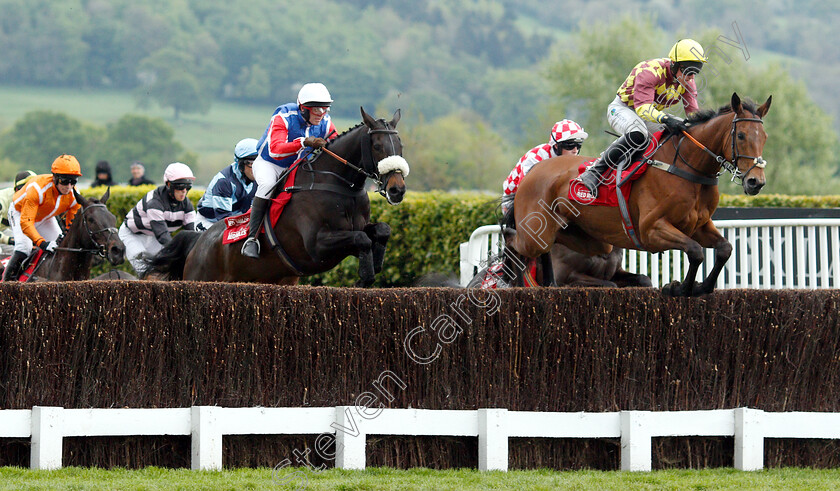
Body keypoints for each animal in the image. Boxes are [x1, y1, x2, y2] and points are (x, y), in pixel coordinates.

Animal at [146, 107, 408, 284]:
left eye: (400, 144)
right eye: (377, 146)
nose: (397, 189)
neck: (337, 185)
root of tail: (198, 242)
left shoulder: (355, 230)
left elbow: (381, 230)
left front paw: (376, 263)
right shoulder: (317, 245)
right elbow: (361, 239)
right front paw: (365, 275)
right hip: (203, 277)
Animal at [502, 93, 772, 298]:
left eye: (765, 137)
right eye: (741, 135)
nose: (755, 182)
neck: (686, 169)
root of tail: (533, 171)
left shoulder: (699, 226)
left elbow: (724, 249)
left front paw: (701, 286)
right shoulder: (652, 229)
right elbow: (695, 251)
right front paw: (680, 288)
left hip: (587, 239)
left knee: (547, 248)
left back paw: (547, 284)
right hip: (535, 233)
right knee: (512, 240)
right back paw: (512, 283)